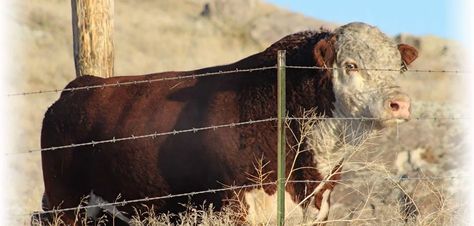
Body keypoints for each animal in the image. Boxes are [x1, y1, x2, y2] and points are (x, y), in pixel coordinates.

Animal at [41, 22, 418, 224]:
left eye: (396, 66)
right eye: (351, 65)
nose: (399, 103)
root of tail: (79, 86)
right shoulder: (234, 206)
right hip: (66, 206)